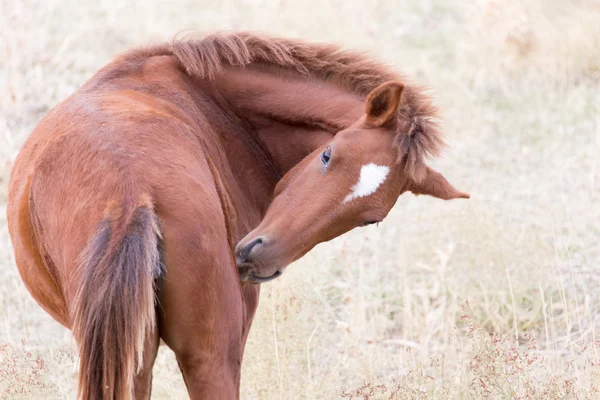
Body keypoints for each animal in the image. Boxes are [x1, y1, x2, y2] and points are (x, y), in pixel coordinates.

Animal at [7, 32, 472, 400]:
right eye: (327, 155)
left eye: (369, 219)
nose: (259, 256)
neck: (217, 104)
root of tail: (130, 194)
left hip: (196, 358)